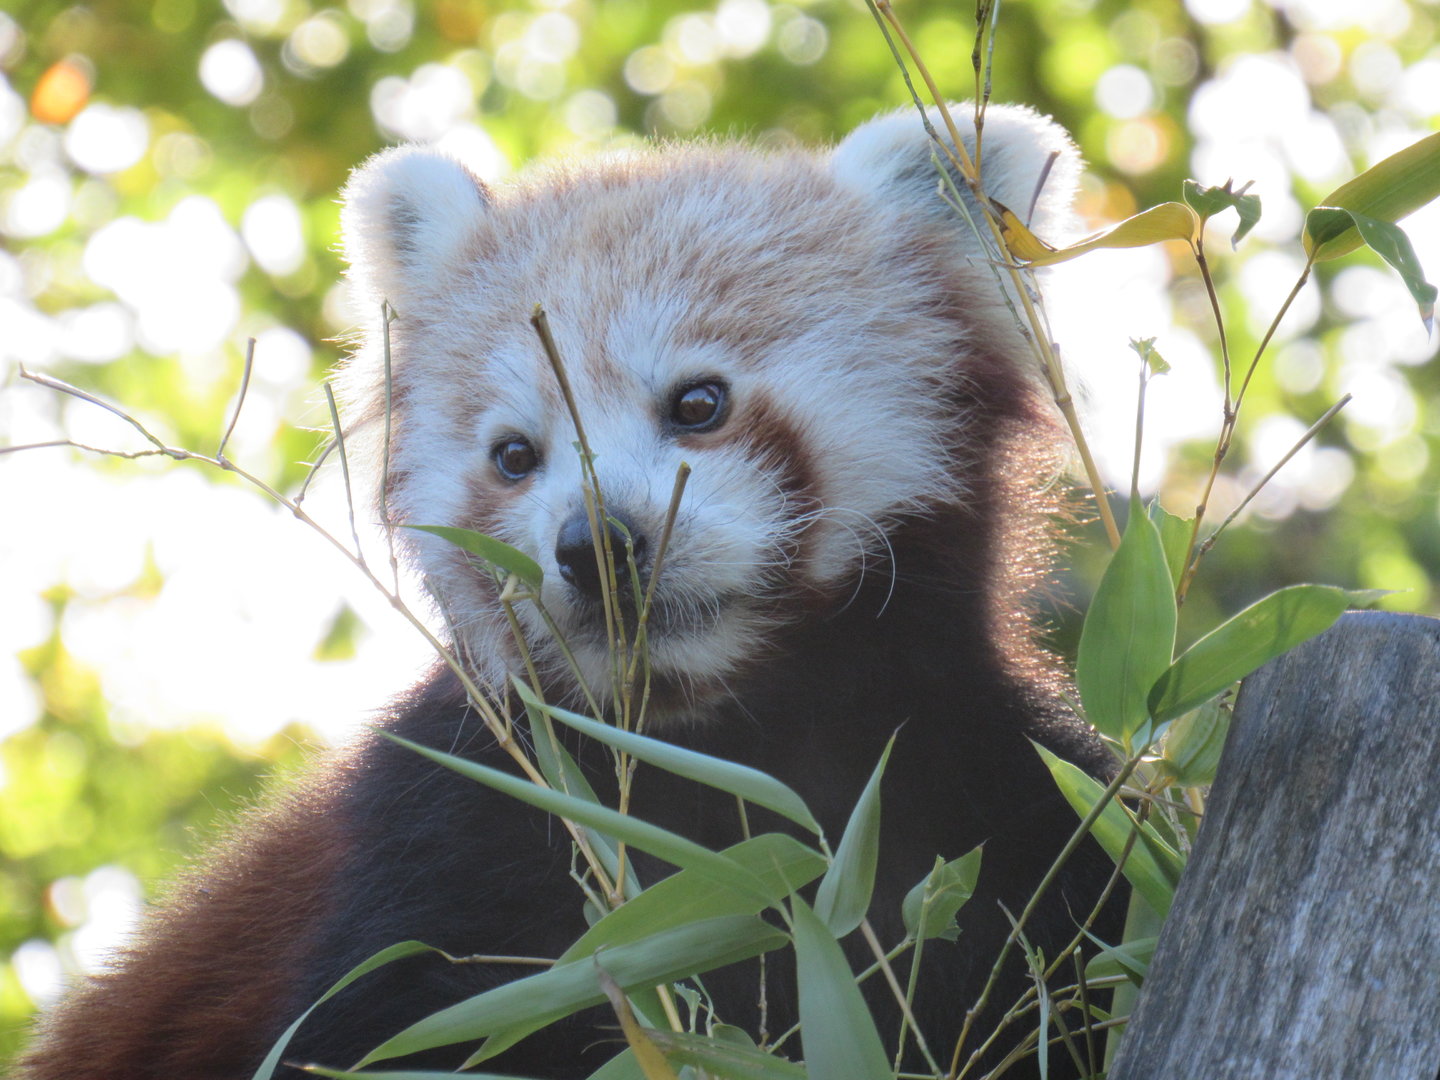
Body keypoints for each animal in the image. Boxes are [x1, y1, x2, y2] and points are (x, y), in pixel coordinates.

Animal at [19, 104, 1118, 1080]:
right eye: (515, 455)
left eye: (699, 403)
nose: (596, 545)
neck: (720, 750)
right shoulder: (453, 840)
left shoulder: (1009, 812)